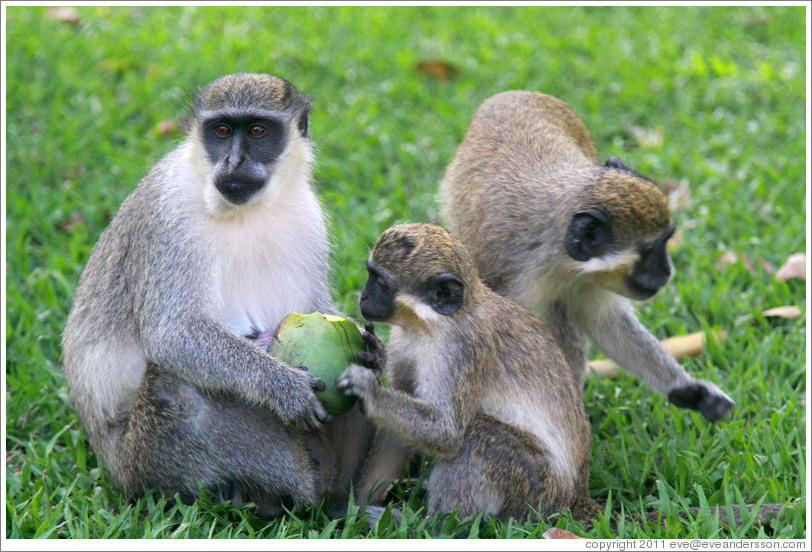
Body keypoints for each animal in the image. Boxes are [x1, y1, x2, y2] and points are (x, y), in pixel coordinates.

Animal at [63, 71, 380, 516]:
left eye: (258, 130)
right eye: (222, 130)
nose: (233, 162)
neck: (247, 210)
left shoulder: (308, 216)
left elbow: (317, 309)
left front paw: (373, 349)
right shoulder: (170, 215)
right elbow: (173, 333)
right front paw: (281, 388)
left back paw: (339, 501)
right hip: (142, 460)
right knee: (177, 385)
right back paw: (295, 495)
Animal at [334, 223, 592, 520]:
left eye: (380, 282)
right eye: (370, 273)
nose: (363, 297)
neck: (433, 322)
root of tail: (574, 498)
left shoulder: (459, 350)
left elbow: (447, 431)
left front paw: (368, 389)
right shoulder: (403, 341)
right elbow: (395, 433)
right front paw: (352, 508)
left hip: (538, 492)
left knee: (478, 436)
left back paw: (435, 524)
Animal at [440, 90, 732, 422]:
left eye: (667, 242)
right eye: (651, 252)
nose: (668, 271)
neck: (557, 258)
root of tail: (508, 94)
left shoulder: (587, 279)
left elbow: (605, 324)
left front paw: (692, 391)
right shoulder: (503, 278)